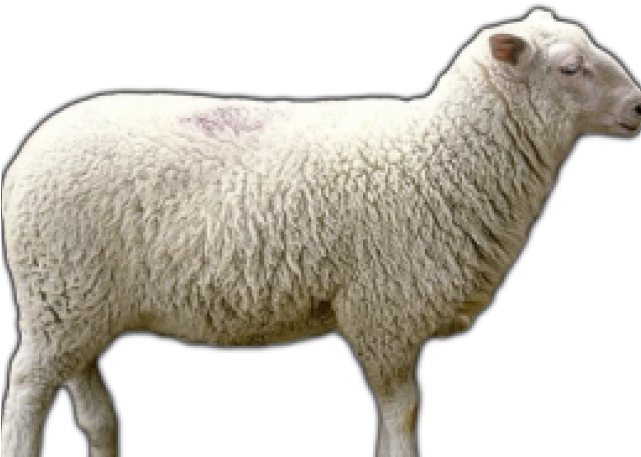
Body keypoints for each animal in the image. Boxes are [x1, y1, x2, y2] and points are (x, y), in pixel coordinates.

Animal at [1, 8, 639, 457]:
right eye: (570, 68)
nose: (637, 104)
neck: (440, 154)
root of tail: (25, 156)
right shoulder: (384, 312)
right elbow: (405, 411)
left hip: (79, 302)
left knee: (93, 409)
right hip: (58, 292)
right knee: (25, 392)